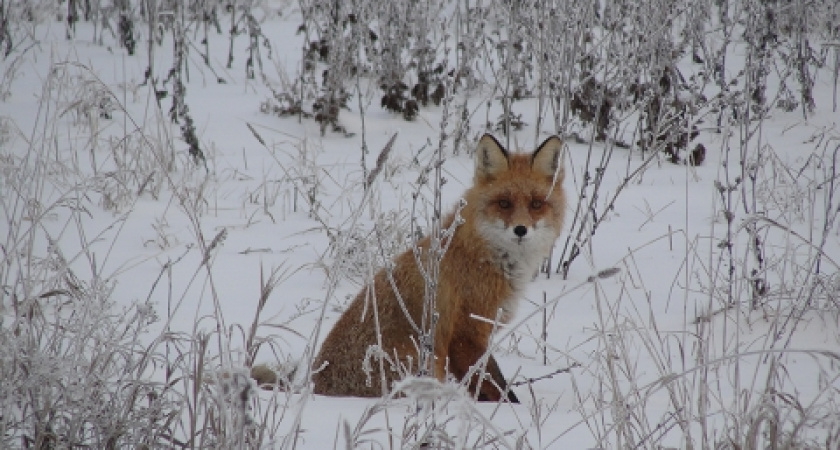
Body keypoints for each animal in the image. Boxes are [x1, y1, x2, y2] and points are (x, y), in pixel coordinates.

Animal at [254, 134, 566, 402]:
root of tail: (317, 388)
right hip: (425, 362)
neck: (484, 255)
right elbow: (497, 389)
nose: (521, 230)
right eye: (504, 203)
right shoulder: (465, 335)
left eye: (536, 204)